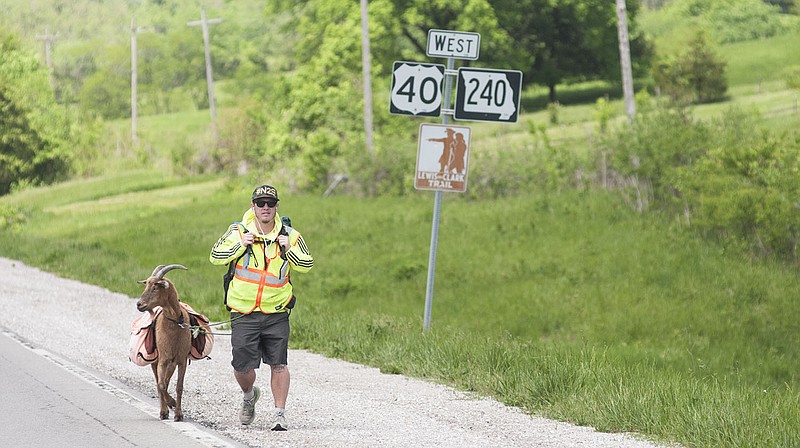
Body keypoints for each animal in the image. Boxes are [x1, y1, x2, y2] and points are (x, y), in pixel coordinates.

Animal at [135, 262, 191, 420]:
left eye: (155, 287)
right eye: (146, 284)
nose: (139, 304)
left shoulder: (181, 360)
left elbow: (179, 386)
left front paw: (178, 414)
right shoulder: (163, 359)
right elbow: (161, 385)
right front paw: (169, 405)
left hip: (171, 364)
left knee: (166, 381)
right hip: (155, 361)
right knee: (159, 383)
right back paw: (164, 410)